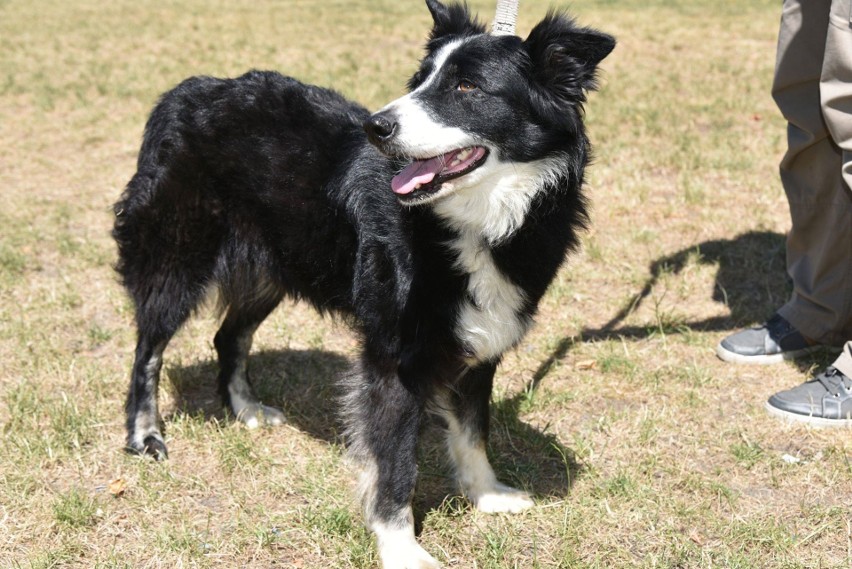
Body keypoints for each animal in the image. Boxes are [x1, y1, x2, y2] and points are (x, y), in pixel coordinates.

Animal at [113, 2, 616, 564]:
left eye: (467, 87)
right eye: (420, 81)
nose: (377, 126)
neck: (471, 223)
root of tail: (185, 91)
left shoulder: (483, 339)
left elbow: (472, 430)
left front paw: (486, 495)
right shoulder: (394, 358)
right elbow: (395, 462)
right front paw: (401, 547)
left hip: (273, 266)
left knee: (229, 336)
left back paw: (245, 409)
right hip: (176, 254)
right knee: (149, 348)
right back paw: (145, 435)